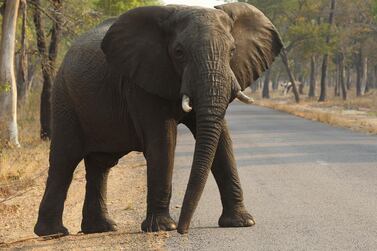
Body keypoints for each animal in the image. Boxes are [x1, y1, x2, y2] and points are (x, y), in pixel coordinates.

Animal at [34, 2, 282, 236]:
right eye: (179, 52)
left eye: (232, 51)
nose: (184, 230)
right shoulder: (140, 81)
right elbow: (163, 140)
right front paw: (163, 227)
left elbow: (223, 140)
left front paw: (242, 222)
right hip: (64, 98)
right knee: (65, 159)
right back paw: (53, 233)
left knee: (100, 164)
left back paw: (102, 228)